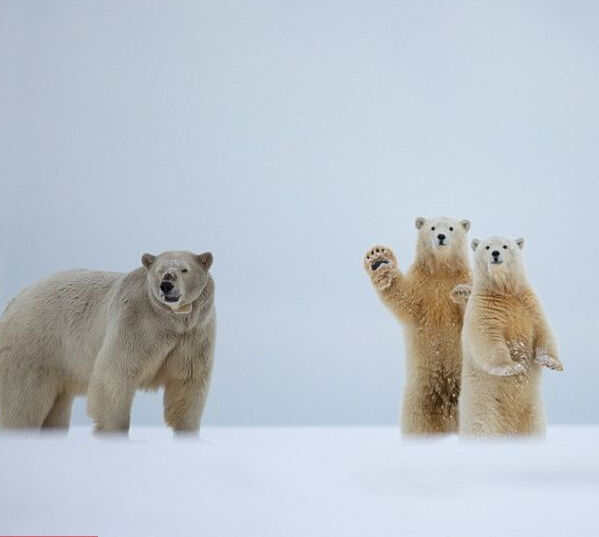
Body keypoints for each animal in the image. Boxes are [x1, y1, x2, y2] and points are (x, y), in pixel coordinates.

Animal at [0, 250, 216, 432]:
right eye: (160, 271)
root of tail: (15, 300)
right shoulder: (134, 324)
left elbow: (187, 383)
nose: (166, 285)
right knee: (22, 401)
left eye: (184, 269)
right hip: (35, 347)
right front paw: (114, 431)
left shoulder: (194, 336)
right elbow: (114, 375)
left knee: (56, 408)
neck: (170, 323)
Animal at [366, 216, 474, 434]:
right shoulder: (422, 286)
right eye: (432, 227)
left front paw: (463, 293)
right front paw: (378, 258)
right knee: (417, 422)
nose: (441, 236)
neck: (441, 271)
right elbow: (403, 298)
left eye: (451, 228)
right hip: (418, 397)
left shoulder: (463, 277)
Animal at [460, 236, 564, 436]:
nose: (495, 253)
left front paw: (552, 362)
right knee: (482, 426)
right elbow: (487, 337)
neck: (505, 290)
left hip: (533, 410)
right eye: (487, 247)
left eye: (505, 246)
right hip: (482, 404)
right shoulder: (485, 308)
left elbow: (543, 329)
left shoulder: (528, 302)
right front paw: (512, 367)